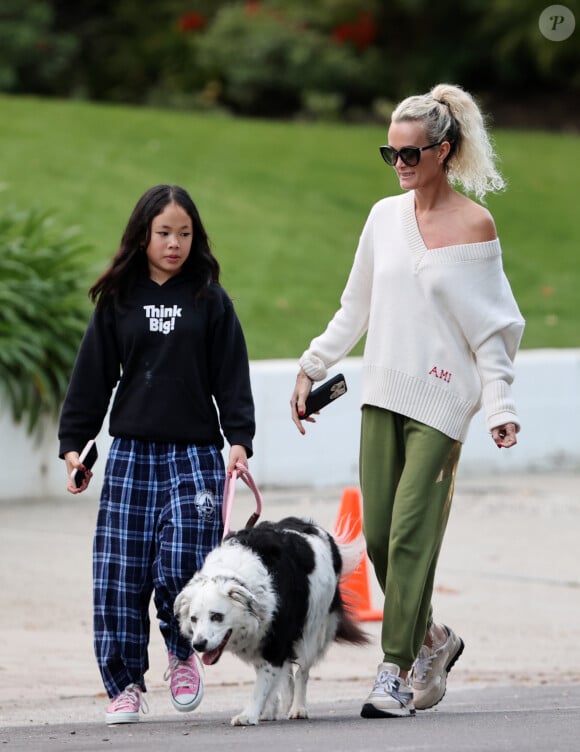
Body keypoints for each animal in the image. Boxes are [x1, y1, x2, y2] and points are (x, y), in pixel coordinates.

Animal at [174, 516, 370, 724]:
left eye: (217, 616)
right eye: (194, 619)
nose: (198, 645)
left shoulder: (275, 642)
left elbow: (263, 684)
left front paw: (248, 715)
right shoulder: (261, 640)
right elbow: (270, 679)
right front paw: (265, 710)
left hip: (313, 630)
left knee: (302, 672)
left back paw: (298, 708)